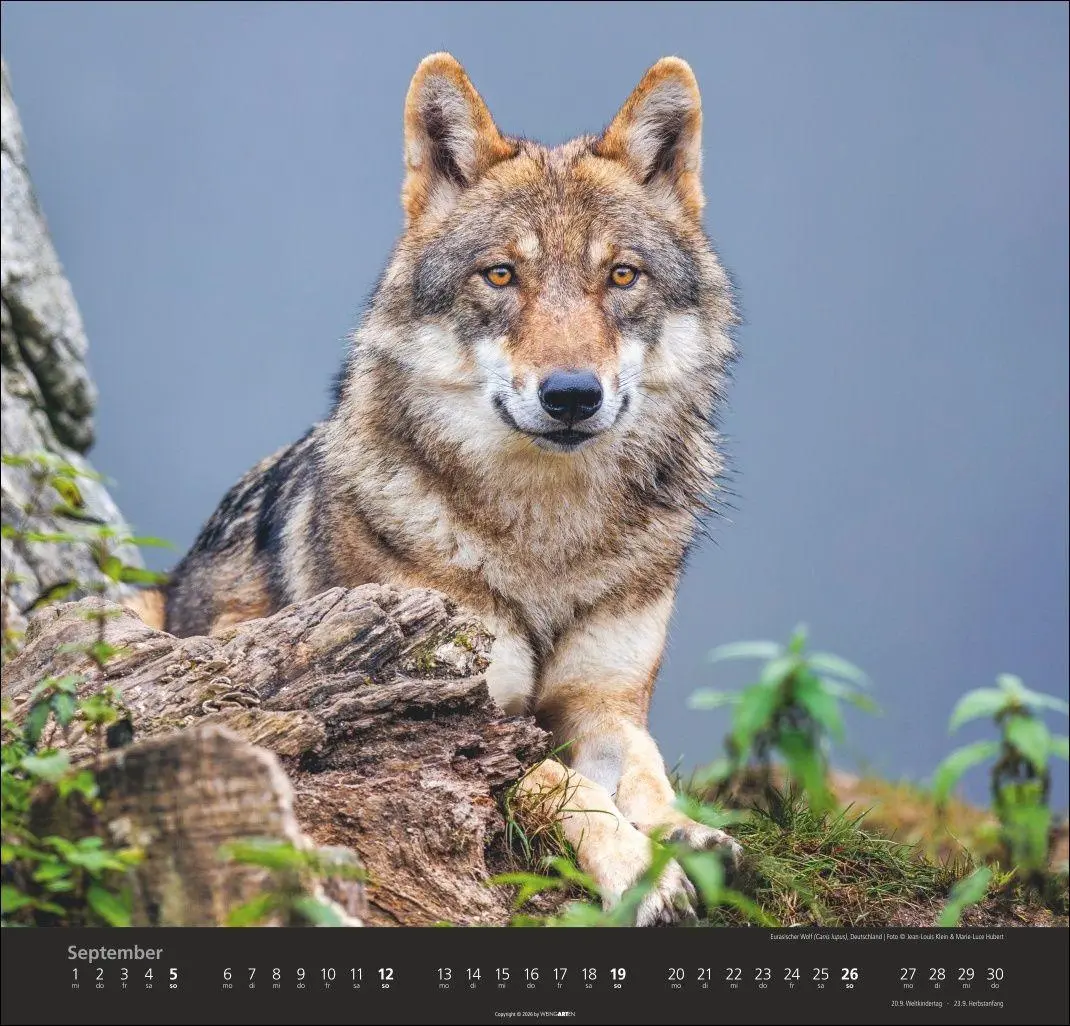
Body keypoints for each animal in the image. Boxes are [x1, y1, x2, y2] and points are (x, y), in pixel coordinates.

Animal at [153, 53, 740, 925]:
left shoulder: (602, 703)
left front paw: (686, 833)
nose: (573, 395)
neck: (547, 542)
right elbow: (566, 787)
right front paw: (642, 871)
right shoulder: (468, 721)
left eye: (620, 276)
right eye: (501, 274)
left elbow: (644, 766)